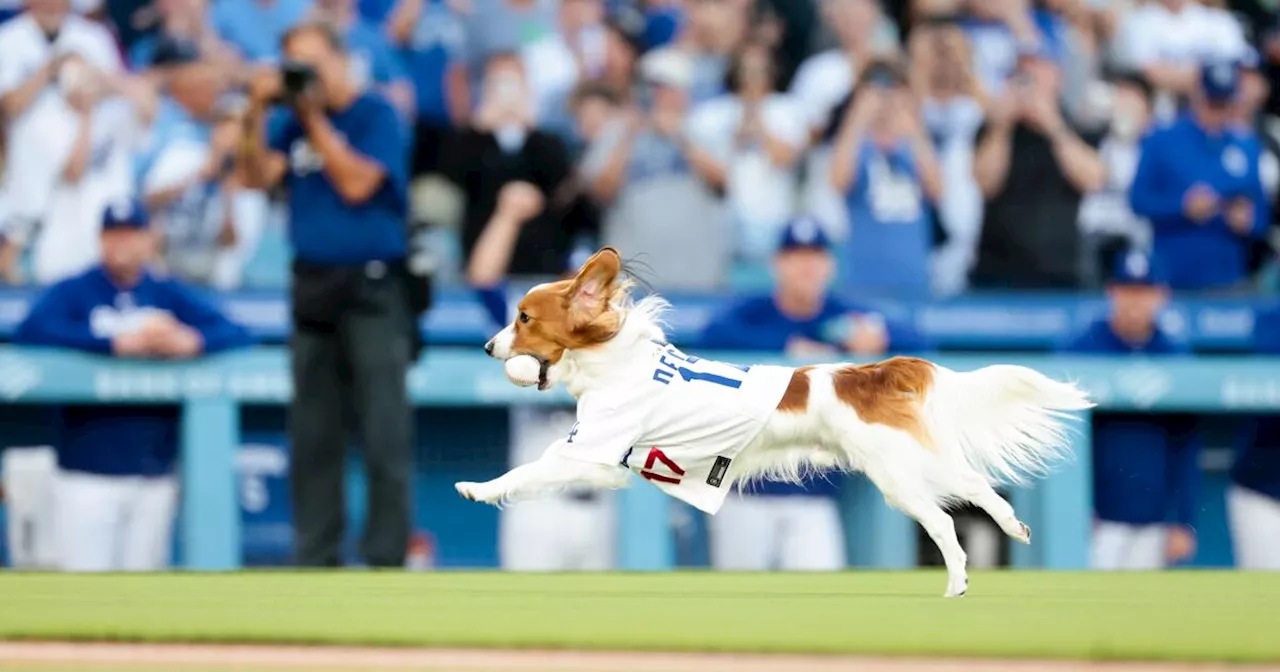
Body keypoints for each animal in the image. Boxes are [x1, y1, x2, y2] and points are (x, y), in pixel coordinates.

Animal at [455, 248, 1095, 593]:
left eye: (523, 317)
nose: (487, 346)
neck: (615, 360)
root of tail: (872, 370)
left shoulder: (590, 452)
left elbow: (525, 471)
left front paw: (479, 487)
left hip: (898, 474)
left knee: (950, 512)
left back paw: (970, 569)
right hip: (908, 467)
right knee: (968, 495)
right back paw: (1000, 540)